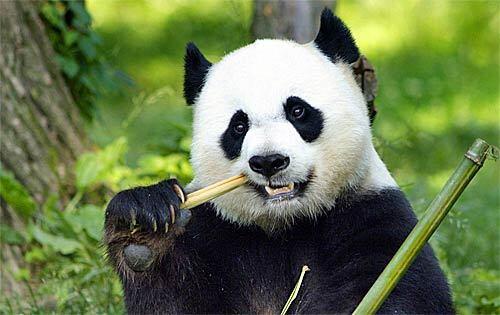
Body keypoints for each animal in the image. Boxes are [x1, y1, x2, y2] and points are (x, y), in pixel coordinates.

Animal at [103, 8, 456, 314]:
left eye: (298, 110)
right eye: (238, 126)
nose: (269, 162)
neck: (286, 223)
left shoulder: (374, 218)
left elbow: (398, 293)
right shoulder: (214, 232)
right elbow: (175, 299)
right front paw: (145, 229)